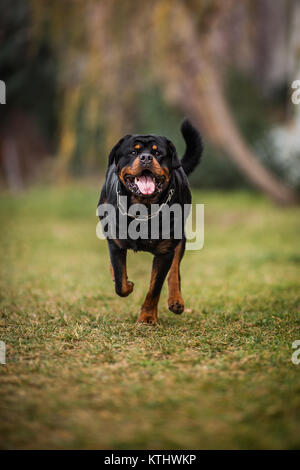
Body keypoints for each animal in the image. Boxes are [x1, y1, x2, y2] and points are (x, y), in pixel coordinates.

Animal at [97, 118, 203, 324]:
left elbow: (155, 287)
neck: (143, 208)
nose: (146, 158)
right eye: (133, 152)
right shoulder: (116, 243)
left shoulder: (165, 251)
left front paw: (147, 317)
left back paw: (176, 301)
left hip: (180, 238)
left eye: (157, 152)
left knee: (174, 271)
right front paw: (127, 284)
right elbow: (120, 282)